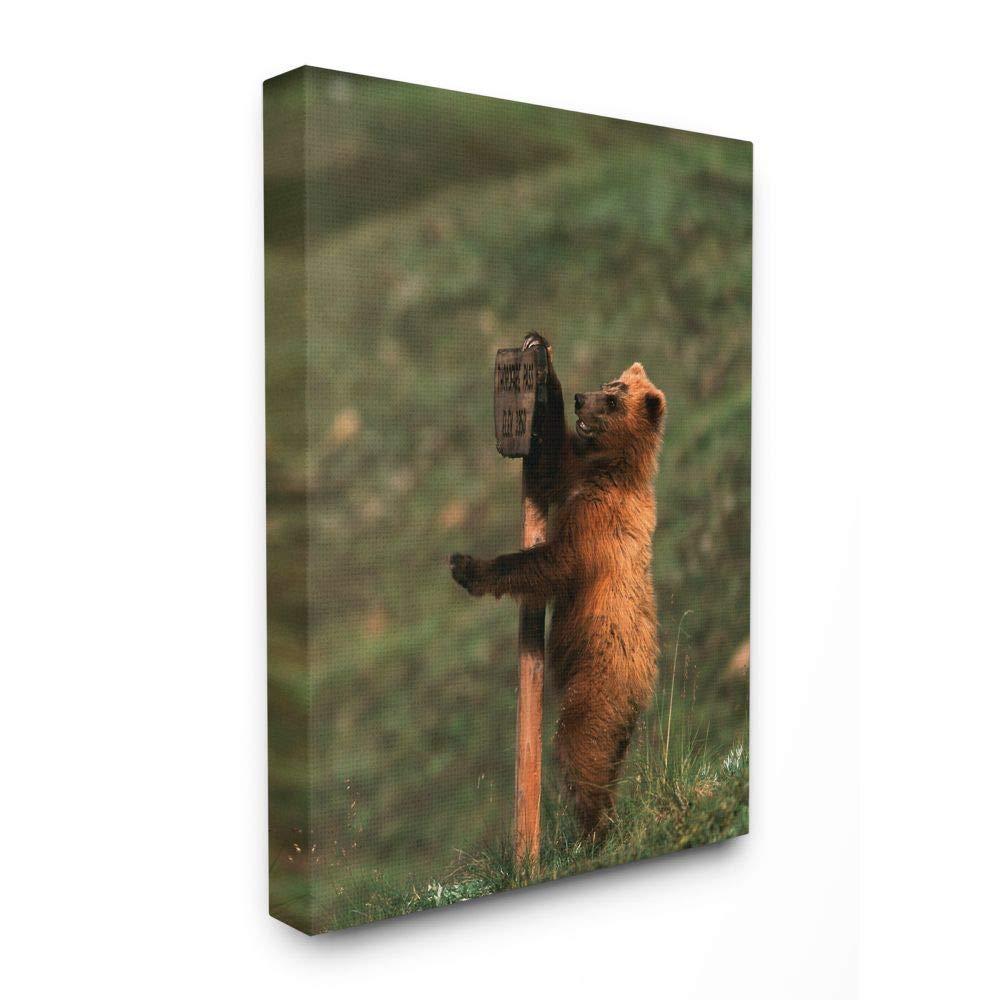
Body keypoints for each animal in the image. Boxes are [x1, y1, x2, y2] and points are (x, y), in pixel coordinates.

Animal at [450, 332, 666, 837]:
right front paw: (542, 359)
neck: (610, 470)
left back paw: (593, 826)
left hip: (597, 682)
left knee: (581, 747)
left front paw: (467, 566)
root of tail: (643, 691)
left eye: (614, 399)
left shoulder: (598, 526)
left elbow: (552, 563)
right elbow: (551, 460)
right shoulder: (577, 474)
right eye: (608, 382)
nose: (583, 398)